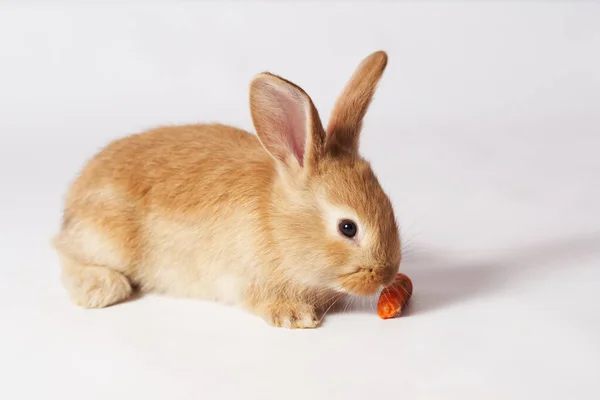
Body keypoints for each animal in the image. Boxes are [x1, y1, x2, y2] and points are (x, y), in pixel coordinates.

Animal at [54, 50, 404, 328]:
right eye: (348, 228)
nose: (387, 273)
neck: (276, 223)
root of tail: (72, 204)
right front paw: (296, 316)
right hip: (107, 237)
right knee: (66, 255)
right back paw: (101, 287)